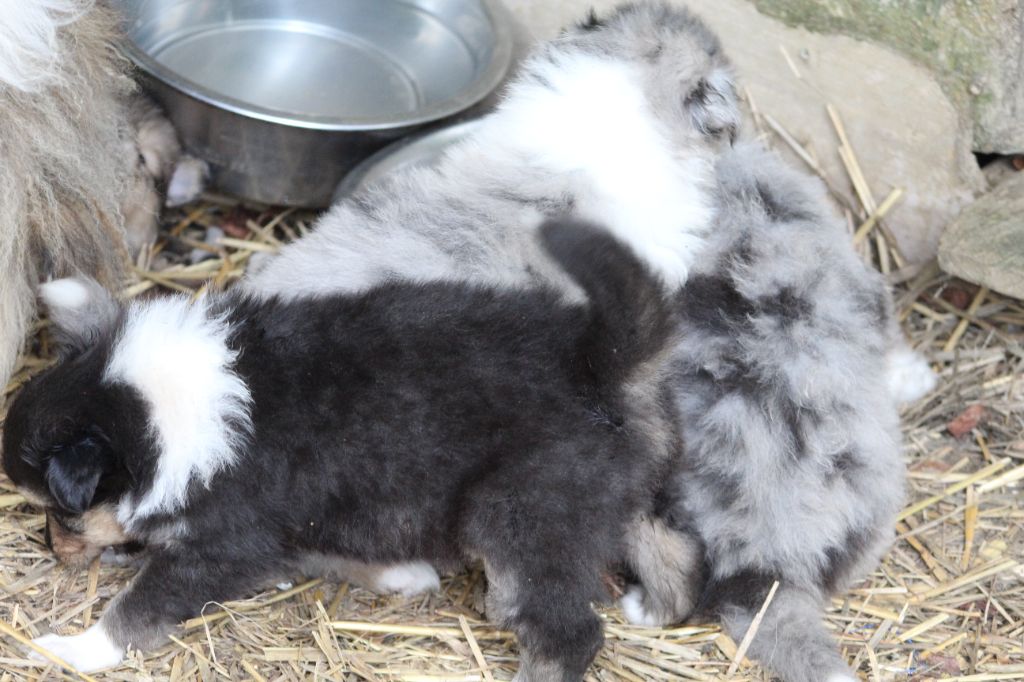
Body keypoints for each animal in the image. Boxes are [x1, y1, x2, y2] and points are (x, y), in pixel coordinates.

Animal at [6, 220, 688, 675]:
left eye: (63, 510)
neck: (164, 410)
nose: (54, 551)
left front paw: (71, 649)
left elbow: (140, 606)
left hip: (529, 517)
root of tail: (596, 363)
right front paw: (401, 574)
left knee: (570, 634)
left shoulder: (222, 546)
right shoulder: (306, 517)